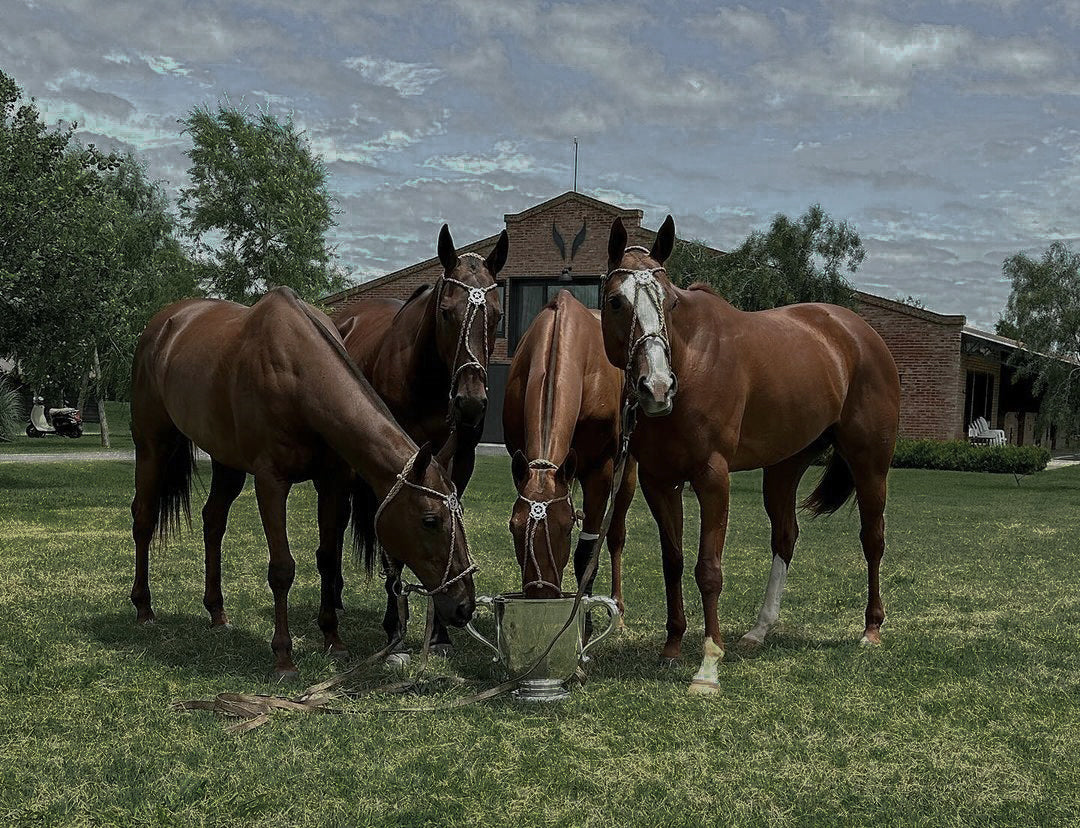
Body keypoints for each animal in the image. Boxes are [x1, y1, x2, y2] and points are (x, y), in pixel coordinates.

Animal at [129, 287, 476, 678]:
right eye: (430, 520)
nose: (464, 606)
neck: (296, 373)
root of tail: (164, 323)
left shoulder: (332, 481)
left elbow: (327, 557)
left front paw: (333, 640)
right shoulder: (271, 482)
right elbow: (282, 568)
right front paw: (283, 657)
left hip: (226, 461)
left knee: (213, 521)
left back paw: (217, 613)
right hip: (152, 444)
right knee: (143, 518)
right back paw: (144, 609)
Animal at [333, 224, 507, 652]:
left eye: (497, 316)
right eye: (446, 313)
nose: (471, 403)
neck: (427, 382)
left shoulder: (453, 466)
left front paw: (440, 632)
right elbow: (393, 548)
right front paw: (395, 626)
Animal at [503, 290, 637, 618]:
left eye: (565, 529)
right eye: (514, 527)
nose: (540, 596)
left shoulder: (600, 470)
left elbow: (587, 553)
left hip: (627, 471)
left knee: (616, 534)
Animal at [600, 216, 900, 694]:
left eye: (670, 303)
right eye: (615, 301)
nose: (657, 387)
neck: (692, 360)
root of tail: (859, 333)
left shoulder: (712, 477)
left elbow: (708, 569)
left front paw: (708, 665)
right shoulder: (658, 481)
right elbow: (673, 562)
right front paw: (672, 647)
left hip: (870, 463)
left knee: (873, 538)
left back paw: (871, 629)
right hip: (783, 466)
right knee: (785, 537)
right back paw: (759, 630)